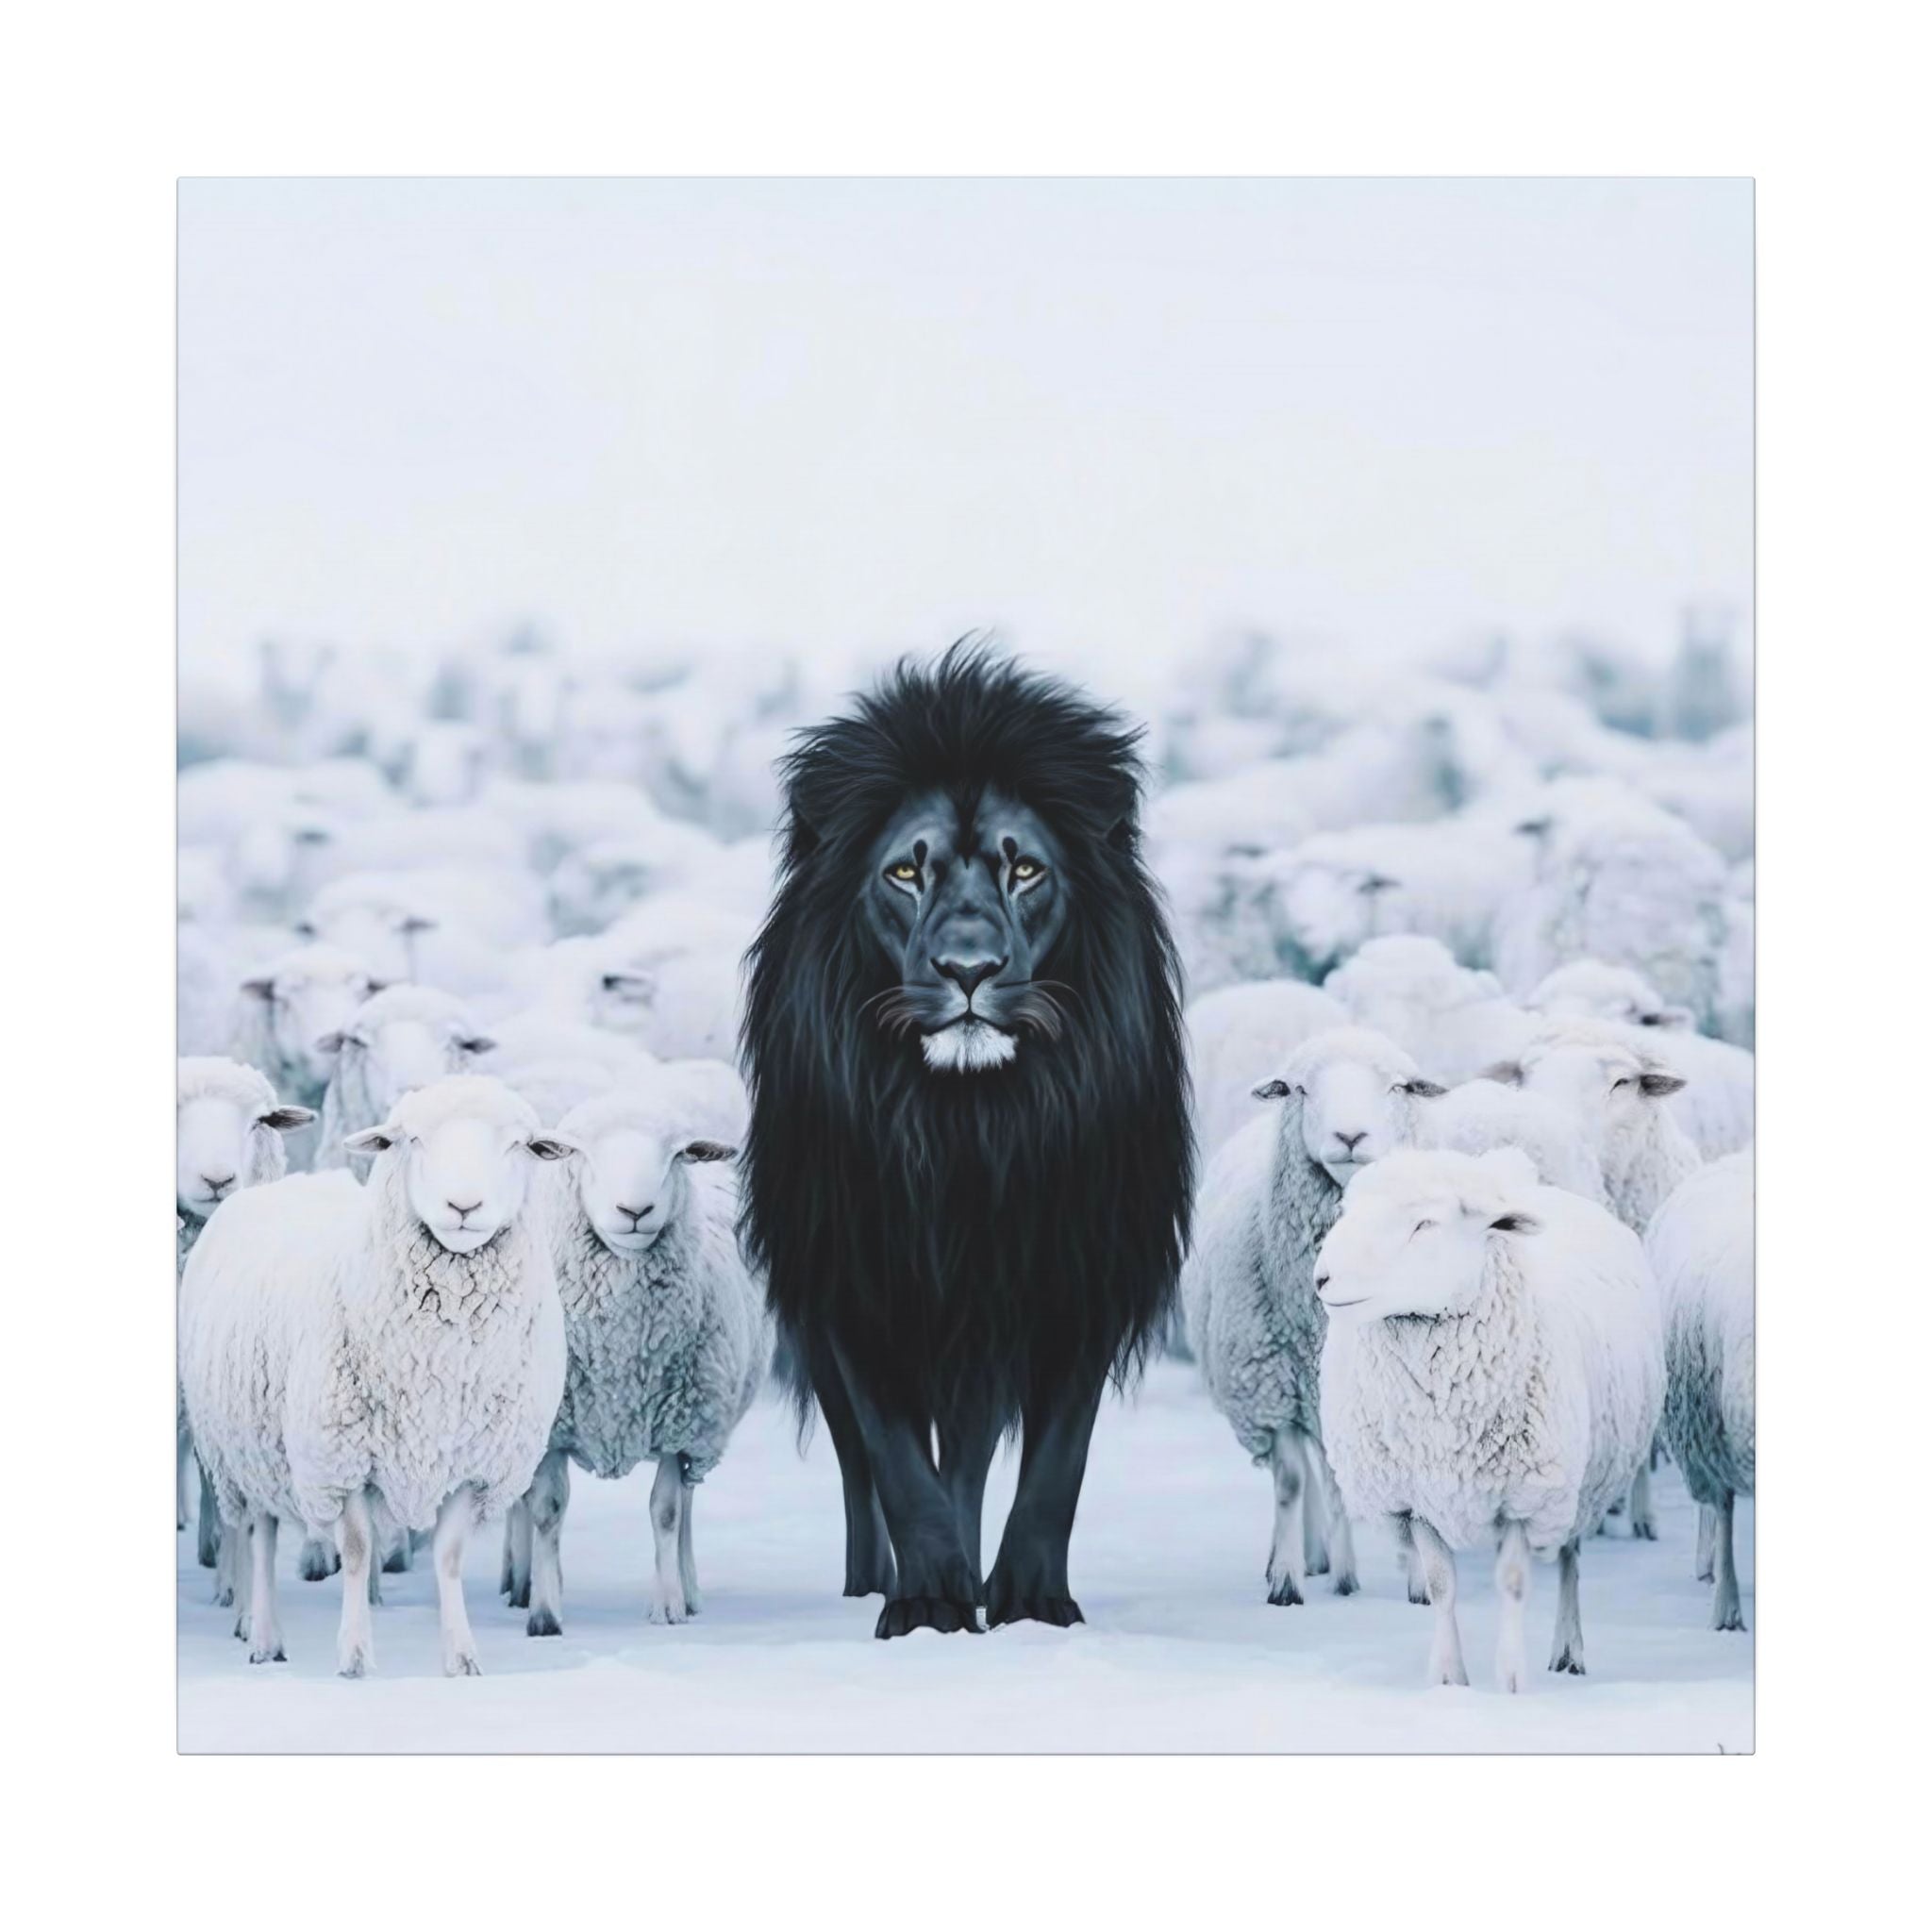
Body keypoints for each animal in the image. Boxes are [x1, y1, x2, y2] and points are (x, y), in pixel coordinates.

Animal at [502, 1074, 766, 1634]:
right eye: (579, 1152)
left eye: (679, 1155)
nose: (635, 1212)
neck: (620, 1350)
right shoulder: (552, 1427)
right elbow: (546, 1509)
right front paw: (544, 1612)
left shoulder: (678, 1425)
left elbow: (666, 1511)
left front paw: (667, 1606)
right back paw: (521, 1581)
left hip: (702, 1433)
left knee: (687, 1503)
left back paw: (688, 1591)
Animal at [740, 644, 1193, 1637]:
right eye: (906, 875)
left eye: (1025, 873)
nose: (970, 970)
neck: (971, 1130)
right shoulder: (857, 1284)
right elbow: (899, 1466)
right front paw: (925, 1604)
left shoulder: (1076, 1277)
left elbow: (1054, 1466)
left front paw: (1029, 1603)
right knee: (862, 1469)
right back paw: (875, 1580)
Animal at [1181, 1027, 1446, 1607]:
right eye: (1299, 1088)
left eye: (1397, 1087)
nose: (1349, 1135)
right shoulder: (1270, 1389)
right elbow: (1290, 1482)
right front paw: (1285, 1579)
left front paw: (1420, 1583)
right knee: (1308, 1470)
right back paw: (1319, 1558)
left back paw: (1343, 1569)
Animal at [1317, 1149, 1665, 1690]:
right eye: (1345, 1212)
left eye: (1424, 1224)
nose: (1322, 1277)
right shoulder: (1417, 1500)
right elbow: (1441, 1586)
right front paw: (1449, 1679)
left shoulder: (1524, 1498)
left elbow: (1514, 1583)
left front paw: (1511, 1679)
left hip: (1577, 1484)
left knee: (1570, 1561)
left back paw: (1569, 1650)